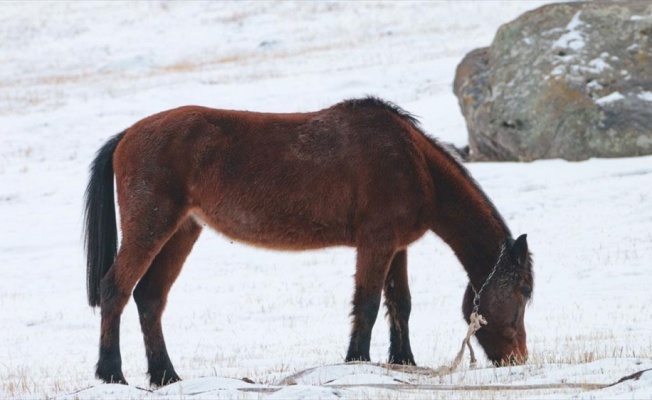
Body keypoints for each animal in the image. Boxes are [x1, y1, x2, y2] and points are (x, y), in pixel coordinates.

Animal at [84, 95, 532, 386]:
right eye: (524, 293)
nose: (518, 360)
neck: (414, 163)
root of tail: (127, 134)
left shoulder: (397, 247)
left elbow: (399, 304)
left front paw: (403, 362)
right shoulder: (376, 243)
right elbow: (368, 304)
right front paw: (356, 362)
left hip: (181, 231)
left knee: (150, 298)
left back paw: (166, 377)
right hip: (150, 227)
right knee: (115, 290)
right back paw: (112, 374)